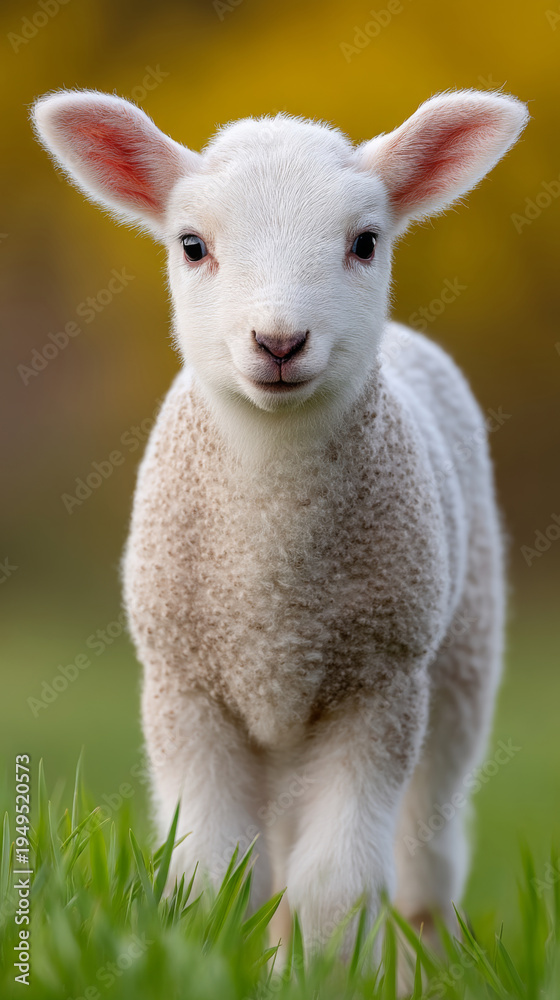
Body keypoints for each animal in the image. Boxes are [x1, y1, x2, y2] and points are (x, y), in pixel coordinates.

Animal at [32, 88, 528, 960]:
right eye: (192, 245)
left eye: (365, 242)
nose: (280, 341)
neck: (274, 595)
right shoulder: (185, 687)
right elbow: (210, 876)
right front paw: (217, 959)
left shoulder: (379, 683)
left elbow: (335, 888)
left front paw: (329, 971)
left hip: (462, 658)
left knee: (426, 864)